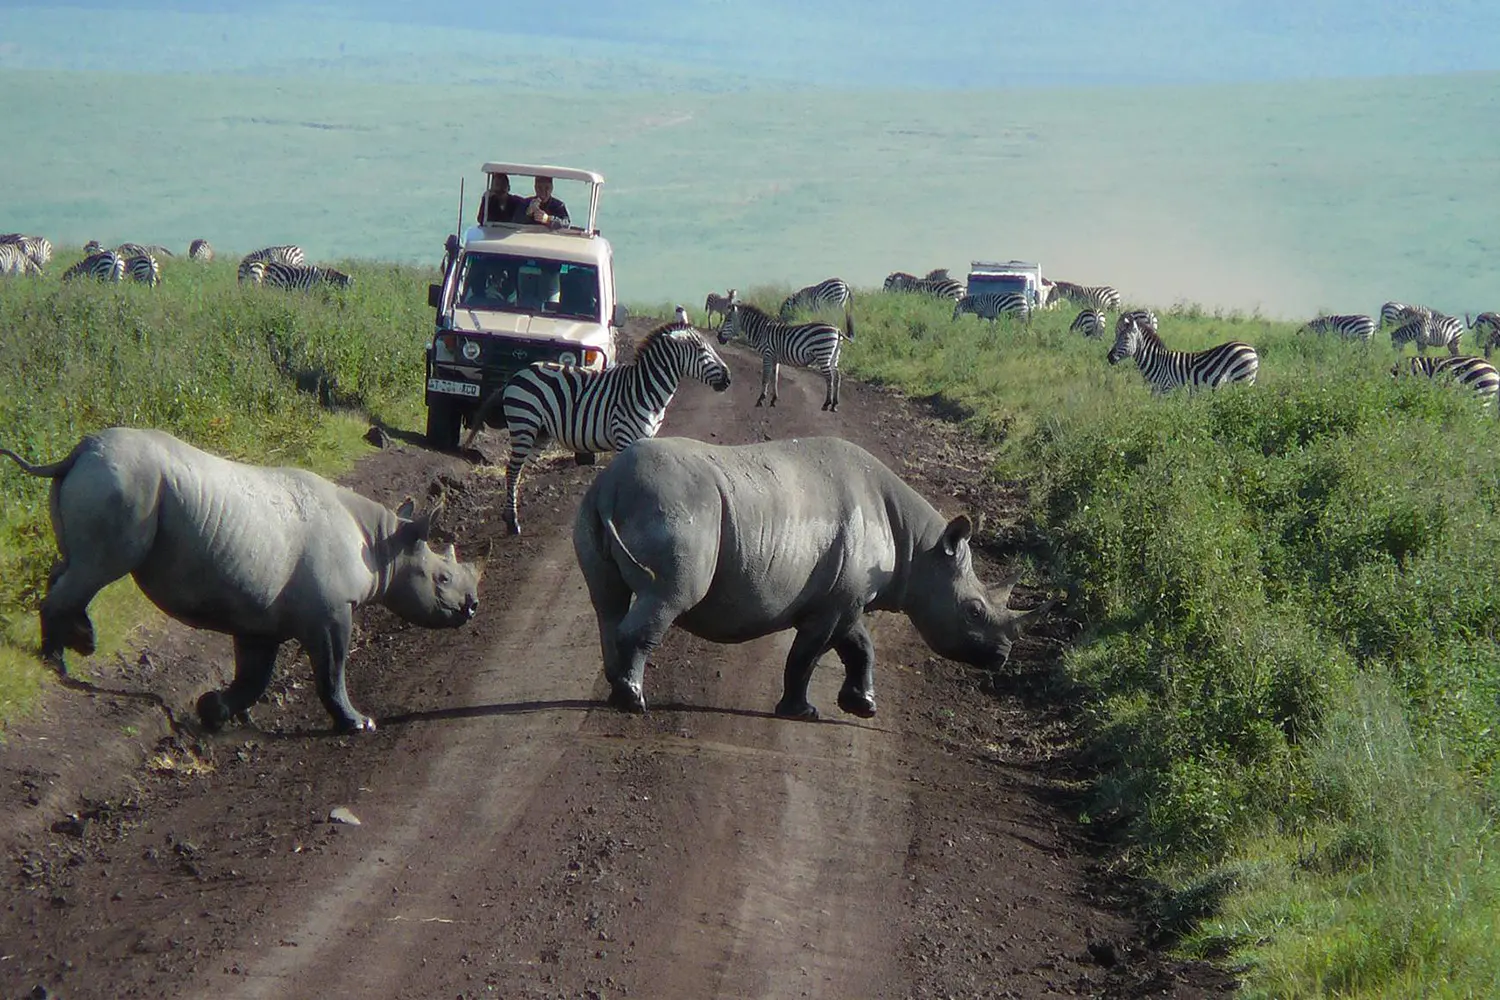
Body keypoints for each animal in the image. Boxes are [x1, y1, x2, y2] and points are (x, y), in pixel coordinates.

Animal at [462, 322, 732, 539]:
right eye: (701, 350)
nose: (728, 379)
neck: (645, 389)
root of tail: (518, 374)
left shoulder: (646, 438)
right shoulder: (625, 437)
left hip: (540, 433)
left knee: (519, 471)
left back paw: (511, 515)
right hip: (524, 424)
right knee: (512, 470)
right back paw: (512, 523)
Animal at [717, 301, 852, 410]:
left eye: (728, 320)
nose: (718, 338)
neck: (762, 332)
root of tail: (837, 330)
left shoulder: (767, 355)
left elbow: (765, 378)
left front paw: (760, 399)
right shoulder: (774, 358)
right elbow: (775, 377)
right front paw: (773, 400)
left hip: (823, 353)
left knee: (829, 377)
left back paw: (826, 404)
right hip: (834, 355)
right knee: (837, 376)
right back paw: (834, 404)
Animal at [1110, 316, 1260, 389]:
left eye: (1126, 338)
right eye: (1117, 336)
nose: (1109, 357)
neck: (1158, 363)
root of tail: (1251, 349)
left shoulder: (1166, 388)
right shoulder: (1156, 389)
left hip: (1242, 381)